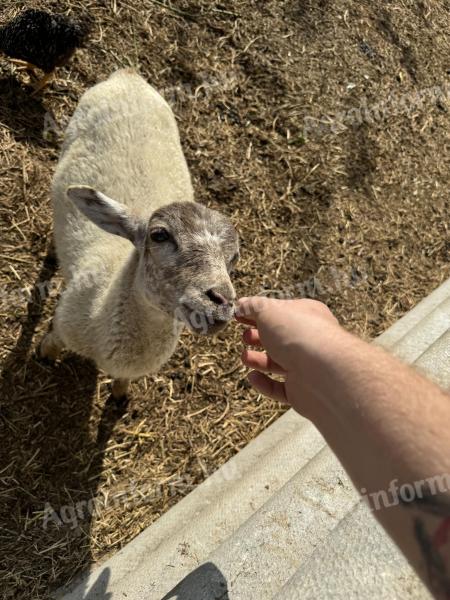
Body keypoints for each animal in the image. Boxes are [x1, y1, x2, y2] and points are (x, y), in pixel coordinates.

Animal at [40, 70, 241, 398]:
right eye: (159, 235)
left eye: (233, 257)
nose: (221, 301)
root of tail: (128, 76)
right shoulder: (63, 325)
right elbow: (51, 345)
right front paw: (45, 357)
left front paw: (121, 395)